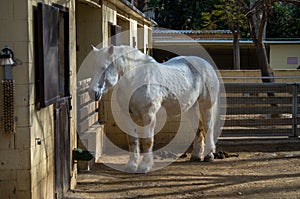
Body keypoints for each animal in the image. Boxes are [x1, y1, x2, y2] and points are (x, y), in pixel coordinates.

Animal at [89, 45, 220, 173]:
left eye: (103, 67)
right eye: (92, 67)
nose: (92, 93)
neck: (136, 80)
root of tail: (207, 64)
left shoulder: (148, 116)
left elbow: (147, 141)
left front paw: (145, 167)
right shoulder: (127, 116)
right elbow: (132, 140)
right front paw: (131, 165)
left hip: (206, 106)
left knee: (208, 128)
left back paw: (209, 156)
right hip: (190, 108)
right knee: (198, 129)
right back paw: (196, 156)